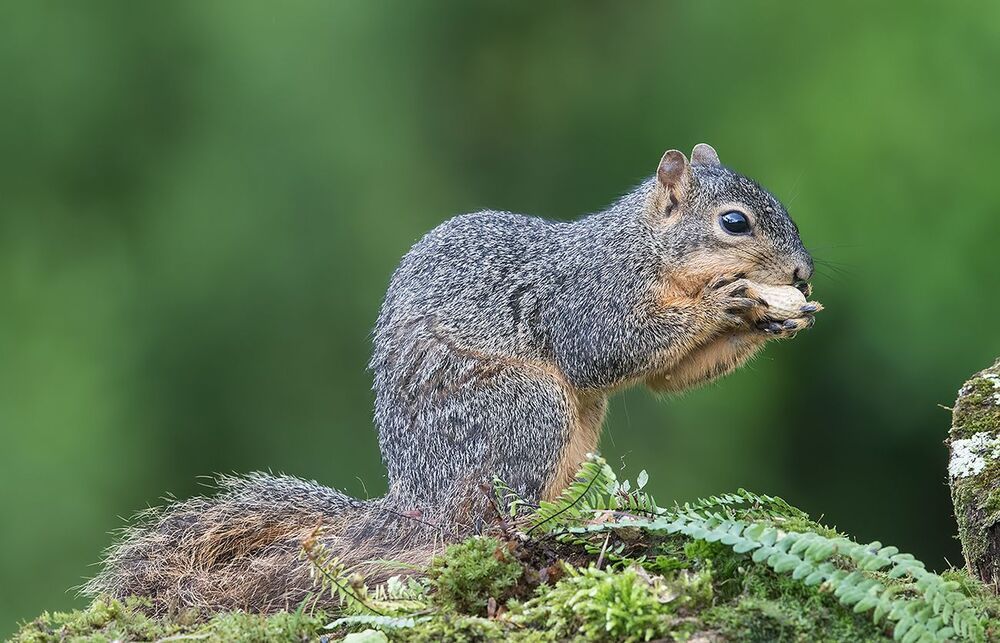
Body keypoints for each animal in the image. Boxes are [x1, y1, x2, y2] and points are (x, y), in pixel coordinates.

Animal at [86, 143, 817, 614]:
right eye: (734, 222)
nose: (804, 274)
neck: (642, 248)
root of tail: (418, 501)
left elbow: (668, 378)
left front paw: (771, 319)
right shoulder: (588, 300)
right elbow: (609, 351)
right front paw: (729, 303)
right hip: (525, 411)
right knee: (491, 529)